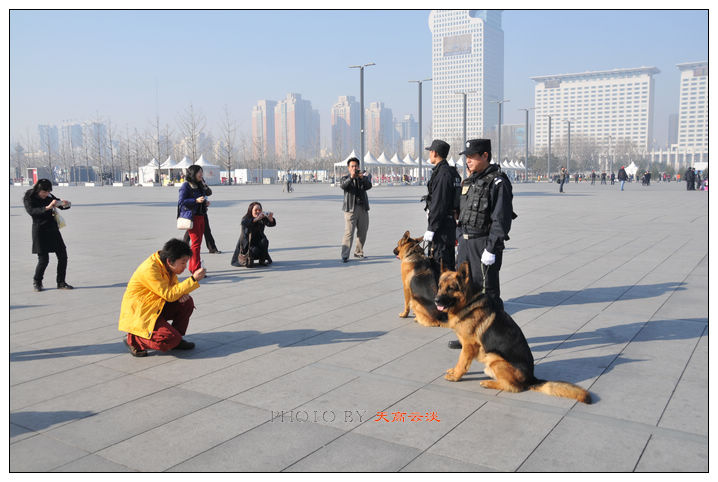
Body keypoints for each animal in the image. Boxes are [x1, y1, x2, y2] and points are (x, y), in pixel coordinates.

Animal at [436, 262, 592, 404]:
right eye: (439, 286)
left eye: (451, 288)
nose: (436, 300)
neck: (469, 302)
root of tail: (531, 379)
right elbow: (460, 362)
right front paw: (454, 371)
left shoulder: (469, 346)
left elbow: (462, 362)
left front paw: (455, 377)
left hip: (495, 358)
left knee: (513, 387)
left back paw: (488, 383)